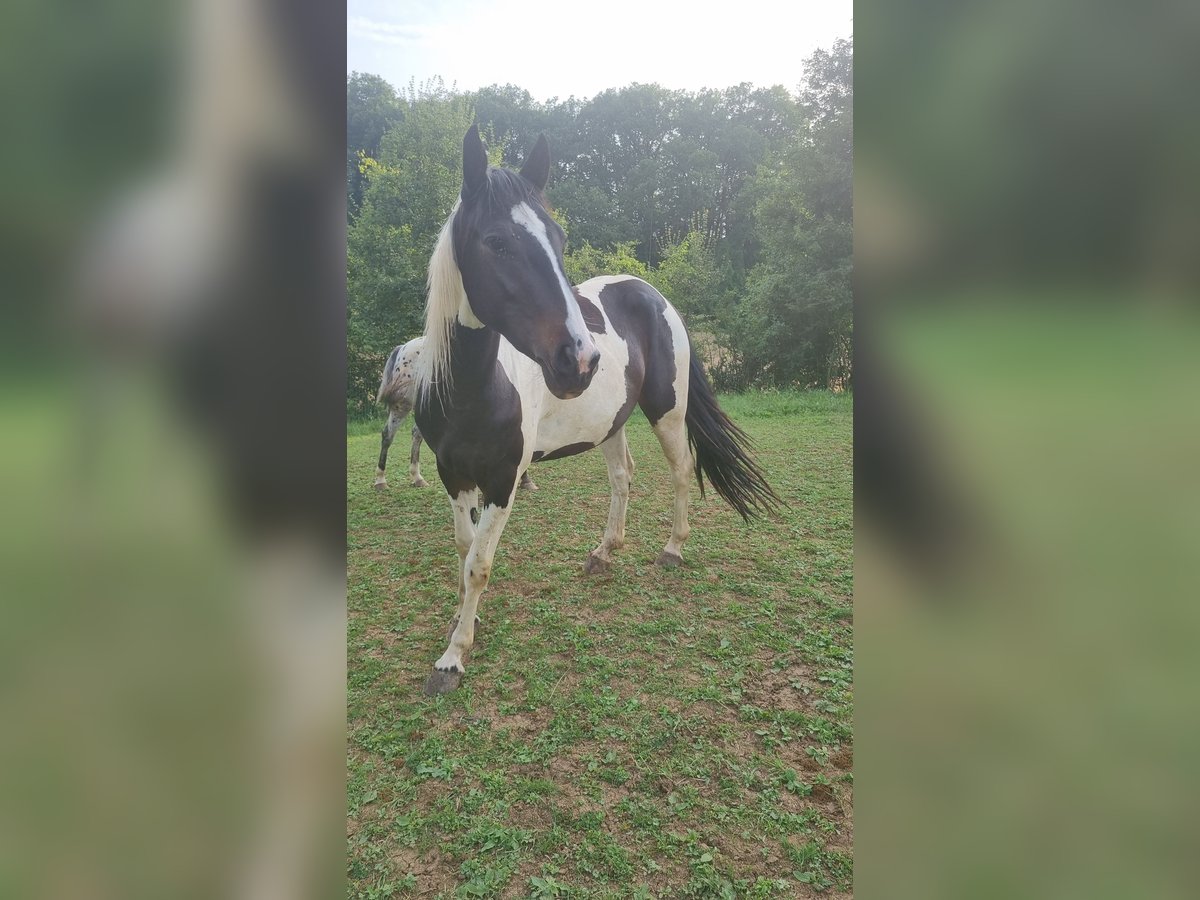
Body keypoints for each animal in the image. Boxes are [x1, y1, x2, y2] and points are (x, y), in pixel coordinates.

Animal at [412, 125, 777, 696]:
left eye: (559, 240)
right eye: (496, 242)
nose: (579, 360)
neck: (473, 387)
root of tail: (652, 294)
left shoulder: (503, 480)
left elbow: (479, 564)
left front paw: (453, 657)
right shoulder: (453, 474)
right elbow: (463, 548)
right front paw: (460, 622)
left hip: (667, 413)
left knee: (681, 471)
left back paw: (672, 549)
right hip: (612, 424)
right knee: (623, 479)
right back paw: (604, 552)